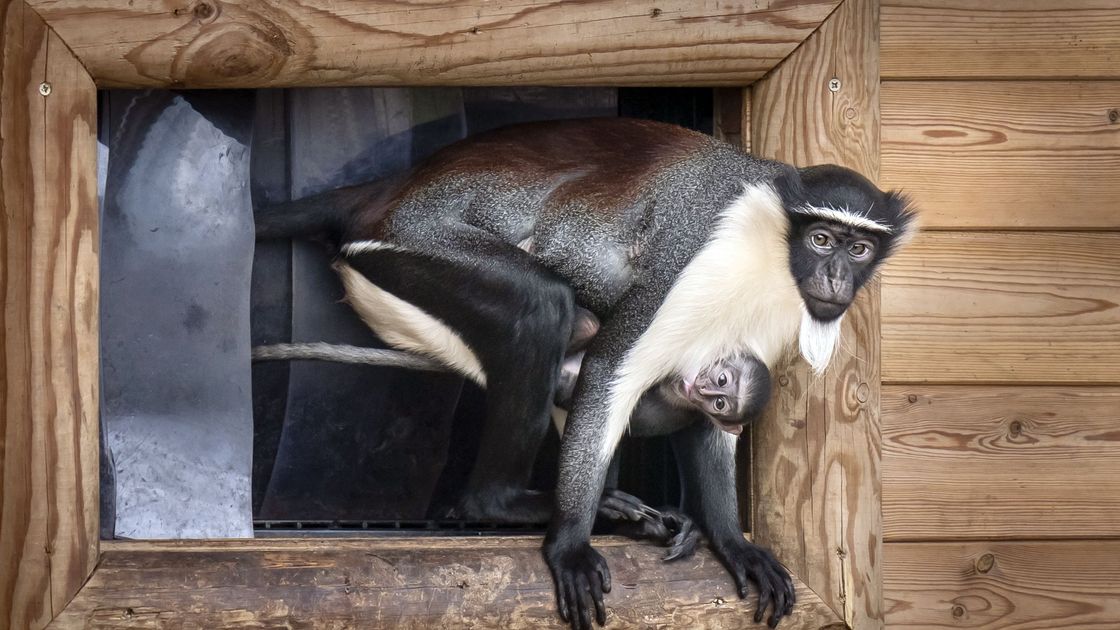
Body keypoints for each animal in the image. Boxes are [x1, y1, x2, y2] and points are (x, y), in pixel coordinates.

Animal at [252, 117, 916, 628]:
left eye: (859, 248)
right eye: (823, 239)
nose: (835, 279)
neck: (774, 244)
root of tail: (386, 190)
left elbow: (711, 423)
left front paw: (731, 540)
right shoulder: (694, 254)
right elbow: (611, 370)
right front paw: (570, 543)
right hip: (410, 249)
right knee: (539, 305)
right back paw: (510, 504)